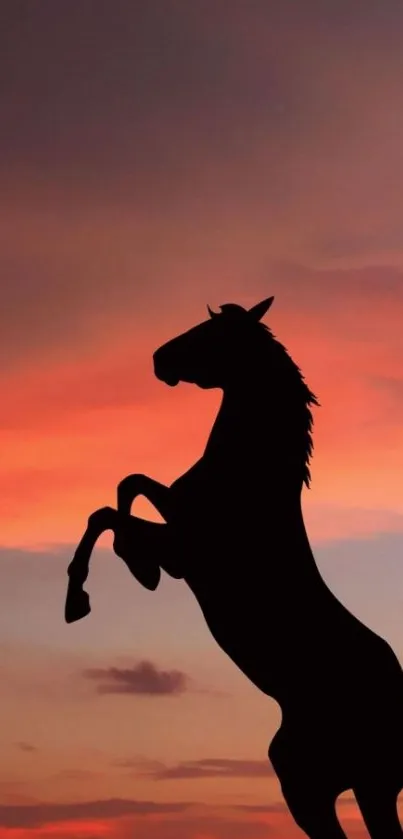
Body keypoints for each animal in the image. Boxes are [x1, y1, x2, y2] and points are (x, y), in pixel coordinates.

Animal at [64, 298, 403, 836]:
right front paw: (137, 568)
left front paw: (83, 596)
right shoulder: (177, 521)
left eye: (212, 333)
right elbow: (130, 485)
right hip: (324, 786)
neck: (247, 478)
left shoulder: (184, 549)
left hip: (342, 784)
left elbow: (108, 513)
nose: (159, 360)